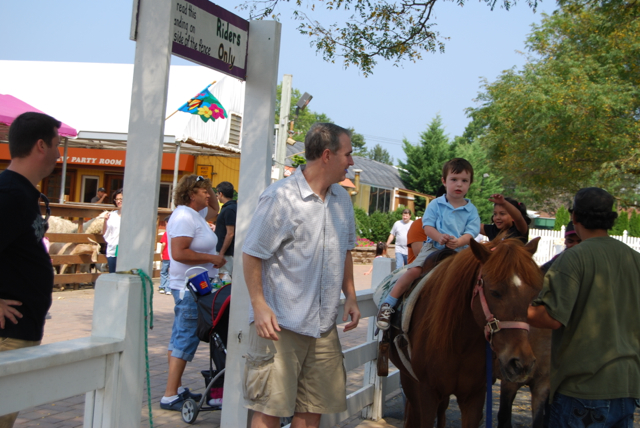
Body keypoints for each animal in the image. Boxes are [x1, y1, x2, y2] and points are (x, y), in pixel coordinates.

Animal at [390, 239, 544, 426]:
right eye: (494, 292)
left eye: (532, 296)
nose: (521, 363)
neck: (460, 345)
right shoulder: (426, 393)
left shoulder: (474, 396)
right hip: (410, 381)